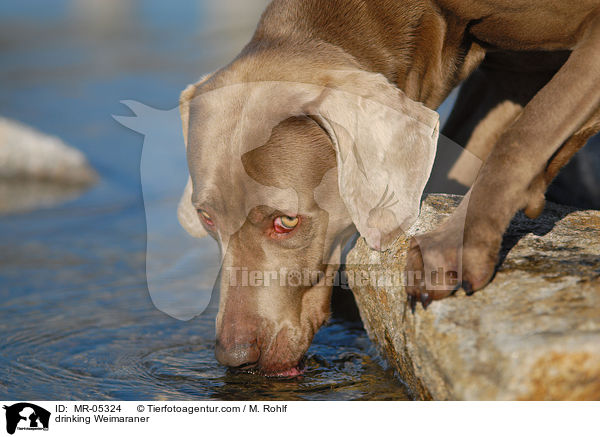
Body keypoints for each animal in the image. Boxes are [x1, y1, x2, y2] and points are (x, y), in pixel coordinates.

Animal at [177, 0, 600, 374]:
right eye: (207, 218)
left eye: (286, 222)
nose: (235, 357)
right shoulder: (508, 74)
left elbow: (523, 134)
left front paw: (456, 247)